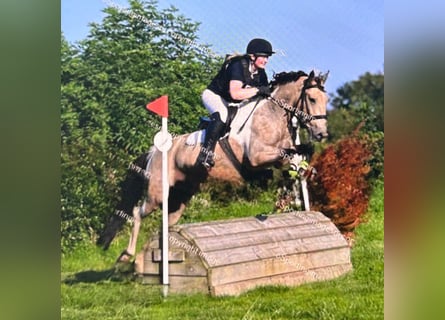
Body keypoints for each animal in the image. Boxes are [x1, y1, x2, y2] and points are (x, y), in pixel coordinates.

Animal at [98, 69, 330, 262]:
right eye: (311, 98)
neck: (273, 114)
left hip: (179, 199)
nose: (322, 134)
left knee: (165, 224)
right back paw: (126, 255)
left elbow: (299, 154)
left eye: (326, 100)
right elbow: (288, 156)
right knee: (137, 212)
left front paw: (298, 181)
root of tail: (153, 152)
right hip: (157, 193)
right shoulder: (257, 157)